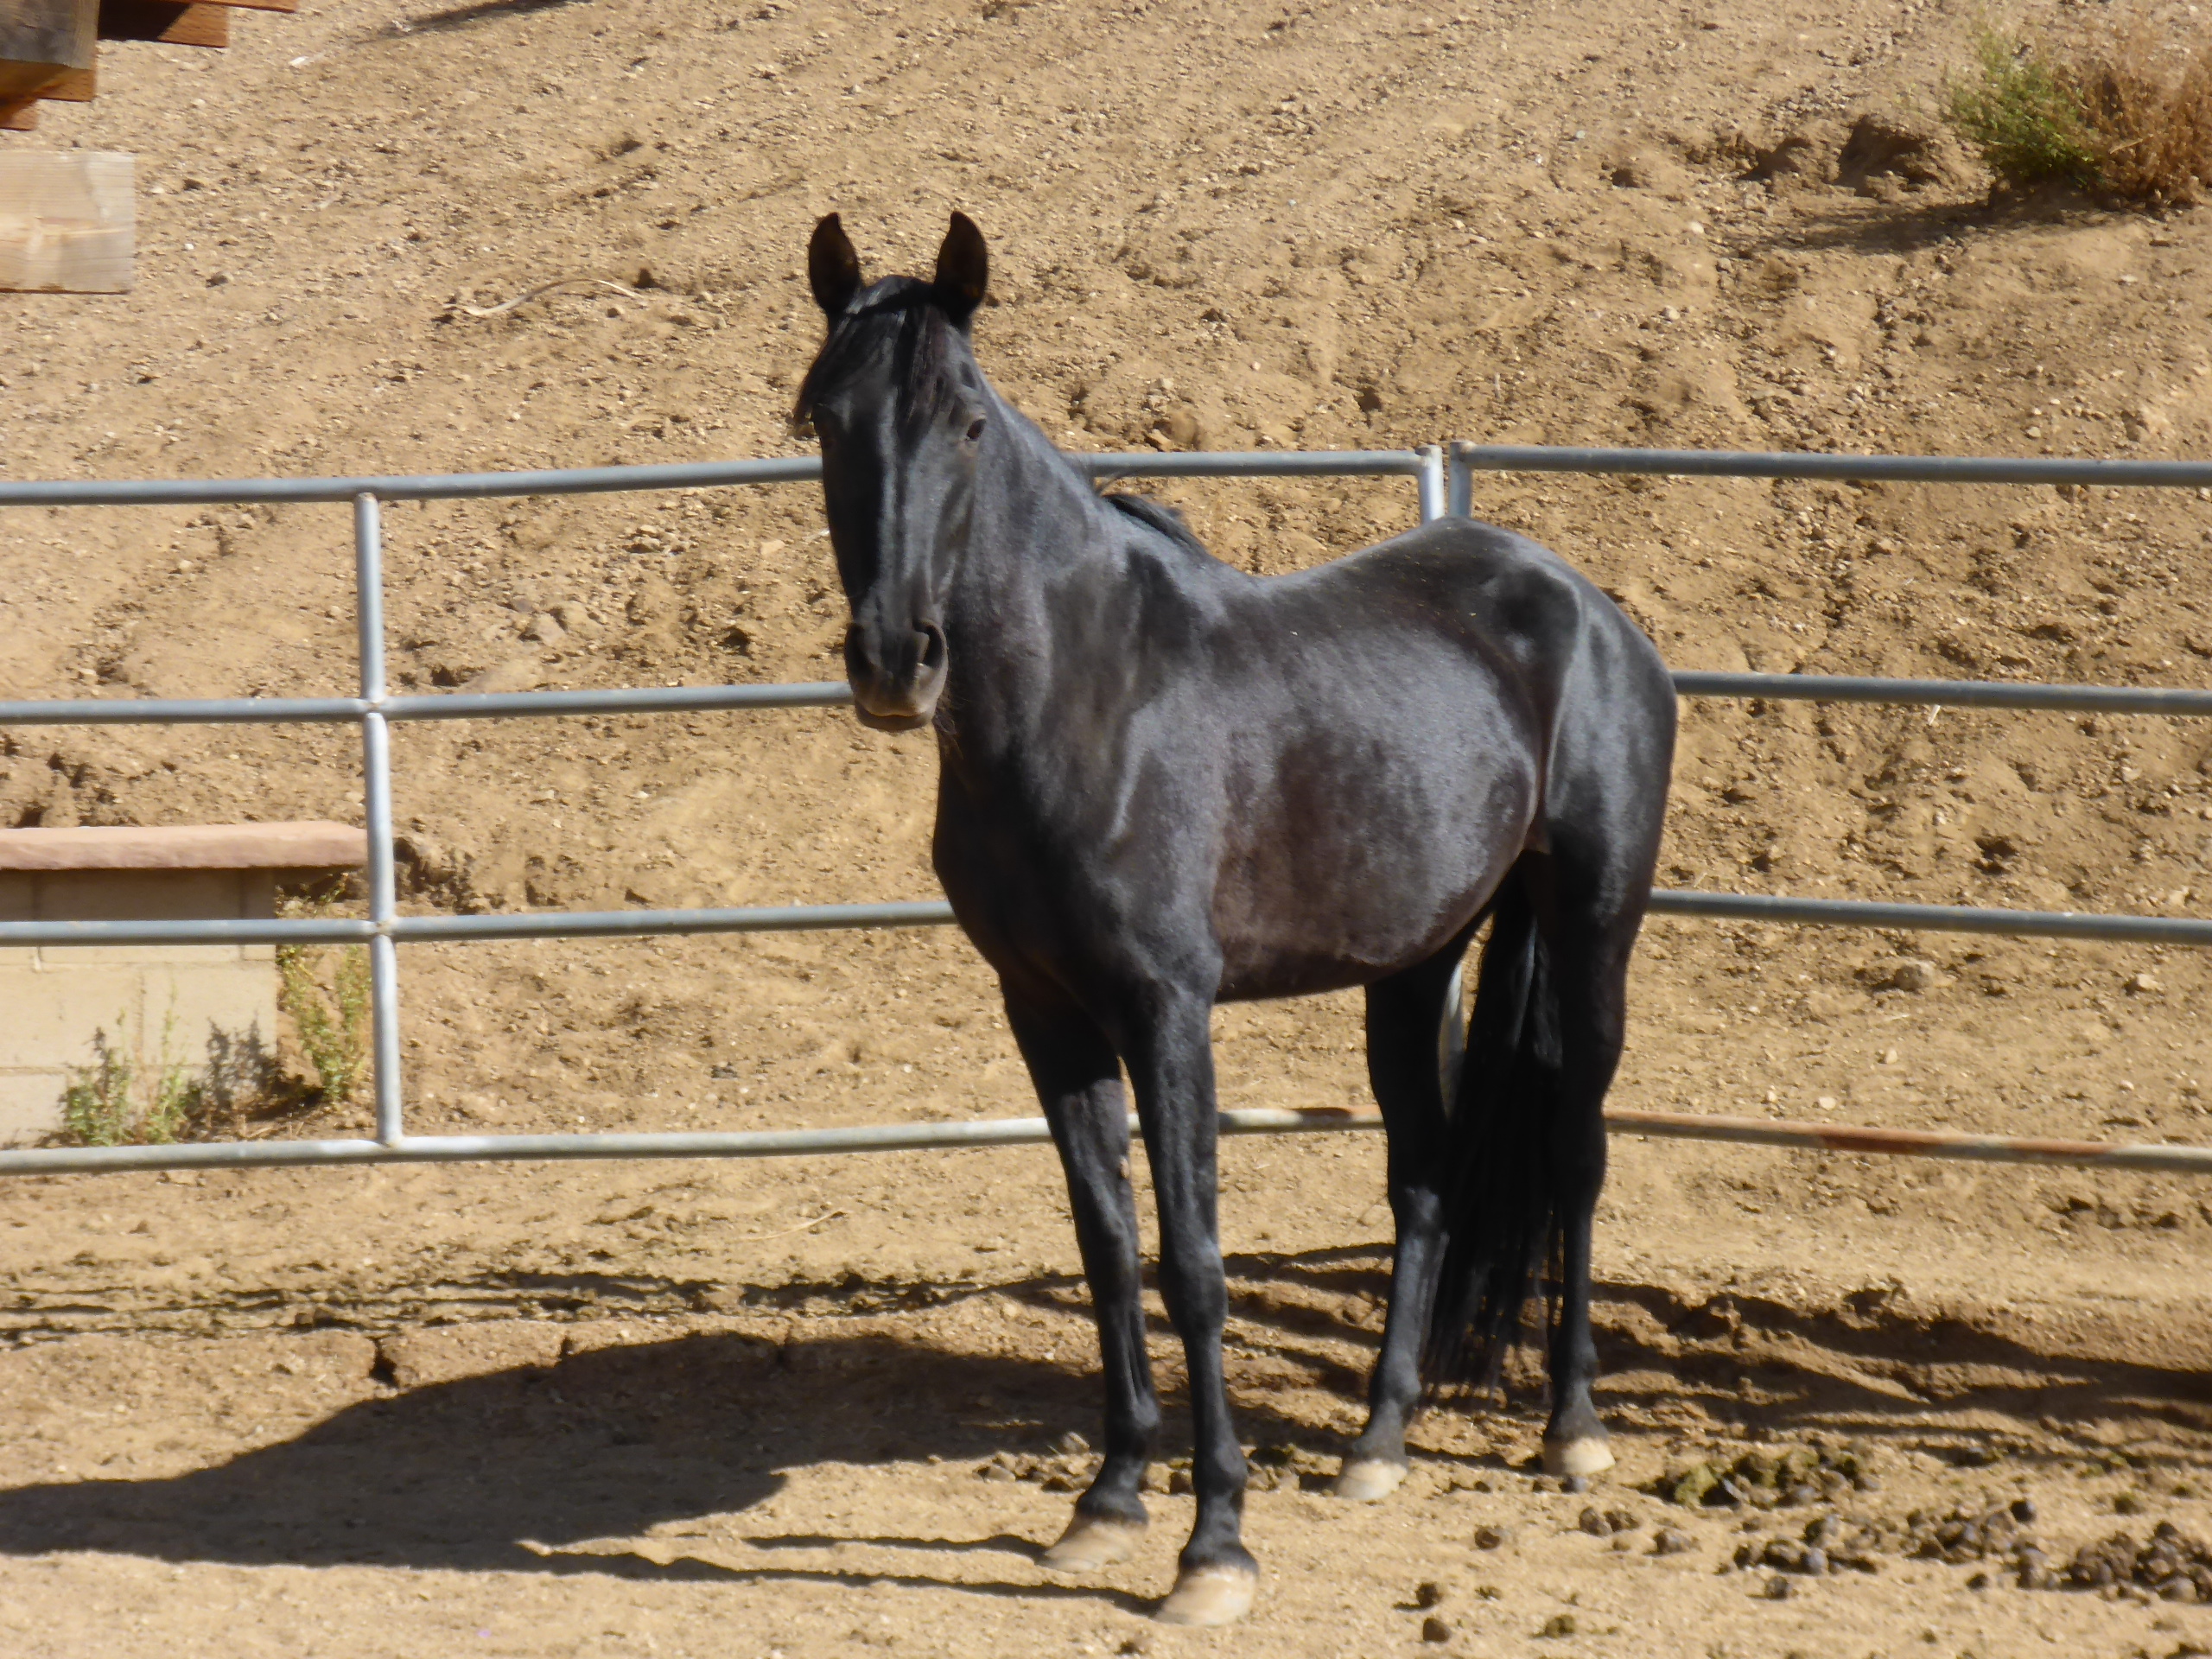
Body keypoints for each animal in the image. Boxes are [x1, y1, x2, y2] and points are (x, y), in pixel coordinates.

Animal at [793, 210, 1677, 1626]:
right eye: (824, 417)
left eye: (967, 421)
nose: (894, 661)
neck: (1086, 694)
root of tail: (1583, 607)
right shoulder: (1045, 1015)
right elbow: (1108, 1246)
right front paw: (1106, 1504)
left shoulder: (1168, 1013)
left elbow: (1195, 1262)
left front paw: (1213, 1546)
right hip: (1414, 963)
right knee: (1425, 1177)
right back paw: (1379, 1444)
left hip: (1594, 927)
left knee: (1576, 1151)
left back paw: (1574, 1428)